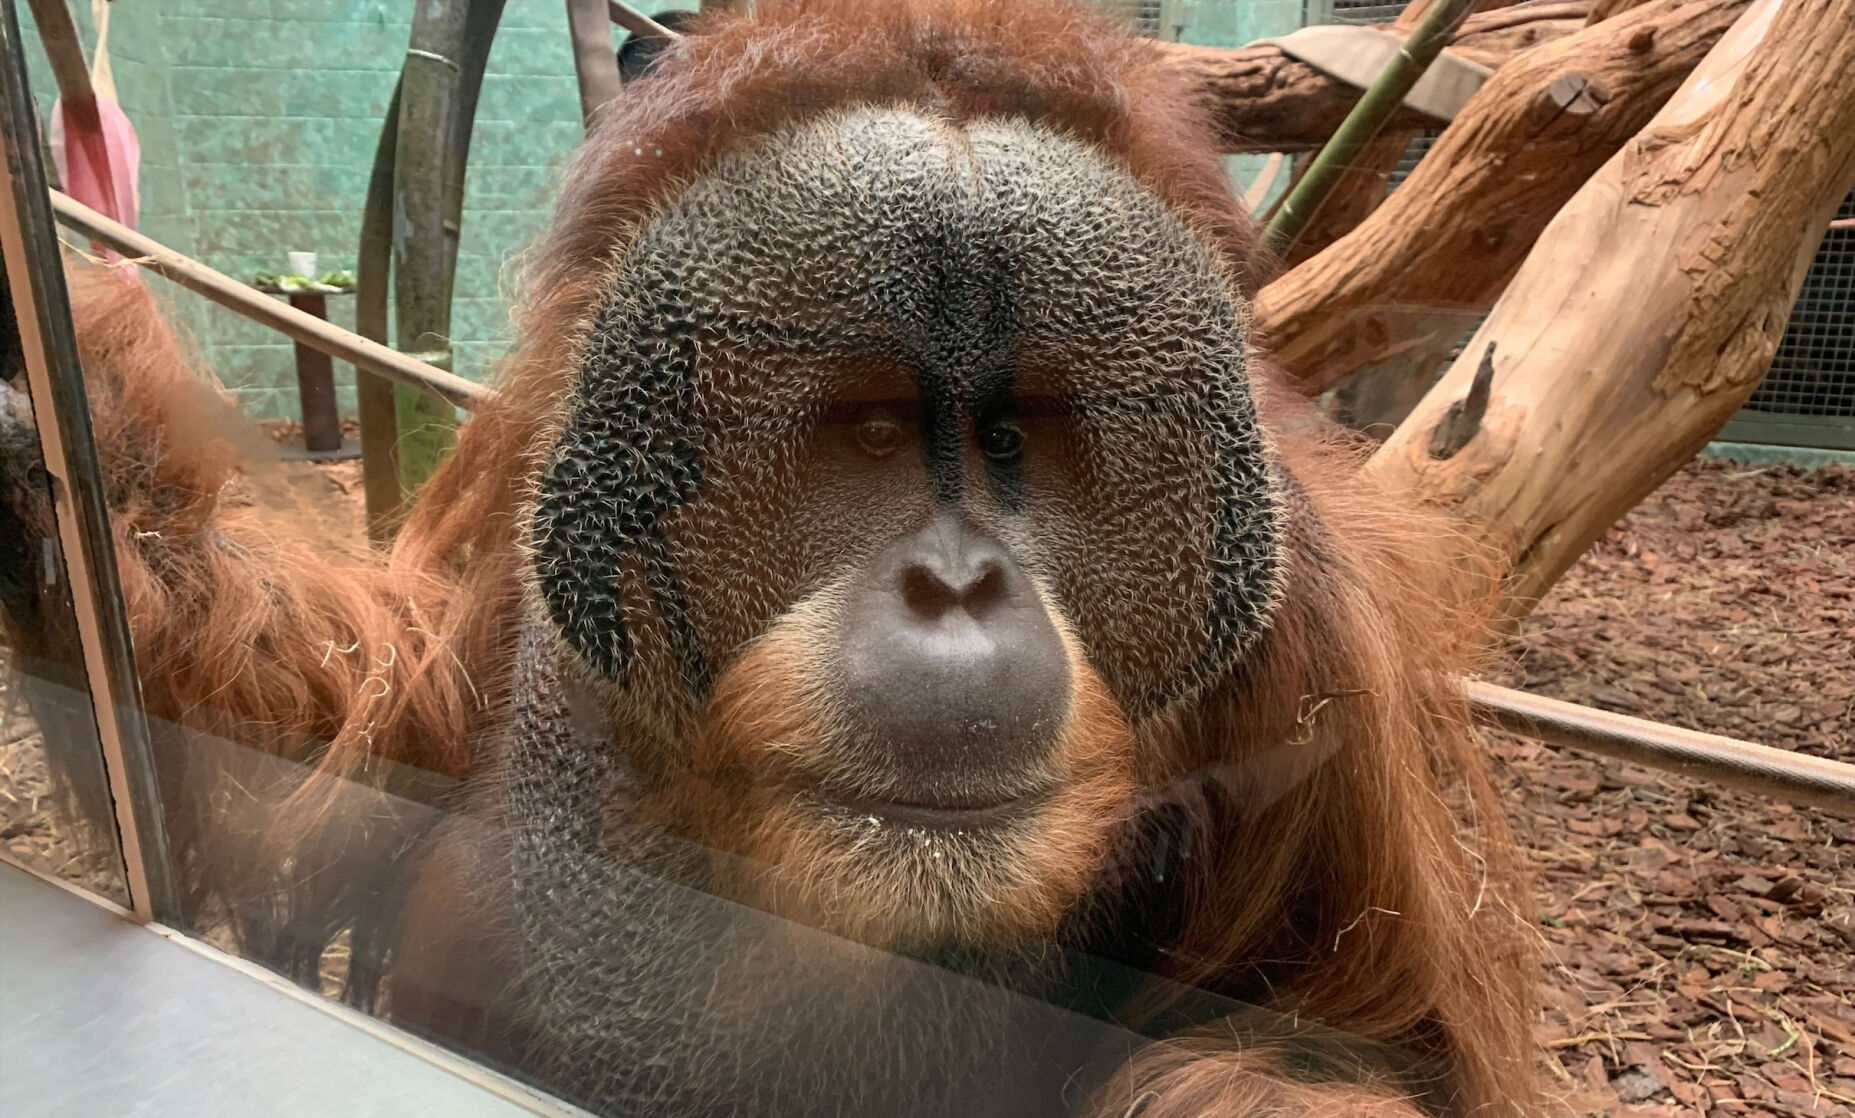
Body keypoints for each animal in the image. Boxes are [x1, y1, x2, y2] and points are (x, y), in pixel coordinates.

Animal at [0, 3, 1539, 1115]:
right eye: (866, 432)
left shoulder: (1325, 646)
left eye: (1018, 437)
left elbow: (1345, 1041)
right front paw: (45, 429)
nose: (954, 586)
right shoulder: (529, 448)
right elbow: (364, 724)